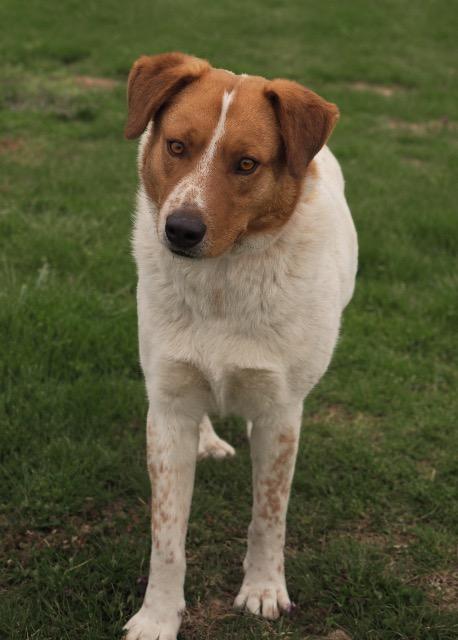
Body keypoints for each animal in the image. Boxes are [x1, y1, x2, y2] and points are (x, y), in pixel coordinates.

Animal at [121, 51, 358, 640]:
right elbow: (166, 535)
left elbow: (269, 514)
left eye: (247, 164)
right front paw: (158, 616)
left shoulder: (281, 410)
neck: (222, 283)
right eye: (176, 146)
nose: (180, 230)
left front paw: (264, 589)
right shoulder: (167, 406)